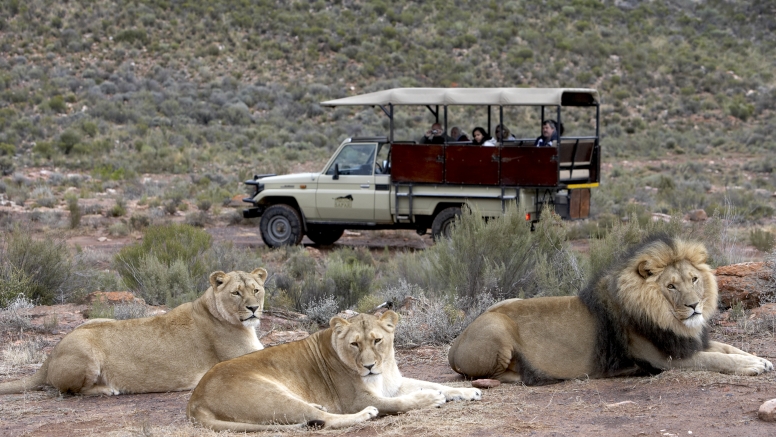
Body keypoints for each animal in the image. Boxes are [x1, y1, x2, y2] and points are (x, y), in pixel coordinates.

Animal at [0, 266, 266, 396]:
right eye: (236, 293)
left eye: (256, 290)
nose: (254, 308)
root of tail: (51, 355)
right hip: (85, 350)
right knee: (72, 391)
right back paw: (108, 389)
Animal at [188, 310, 478, 430]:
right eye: (354, 344)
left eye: (377, 340)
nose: (369, 366)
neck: (383, 369)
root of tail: (195, 400)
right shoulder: (357, 398)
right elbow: (401, 403)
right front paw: (430, 399)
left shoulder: (393, 384)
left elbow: (435, 383)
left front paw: (468, 391)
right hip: (271, 395)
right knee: (323, 420)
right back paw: (364, 415)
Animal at [446, 235, 772, 384]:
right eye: (671, 286)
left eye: (693, 279)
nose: (695, 306)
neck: (670, 320)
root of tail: (455, 343)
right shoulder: (665, 359)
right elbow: (716, 358)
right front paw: (751, 367)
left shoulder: (686, 342)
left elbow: (728, 348)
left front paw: (760, 359)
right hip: (497, 328)